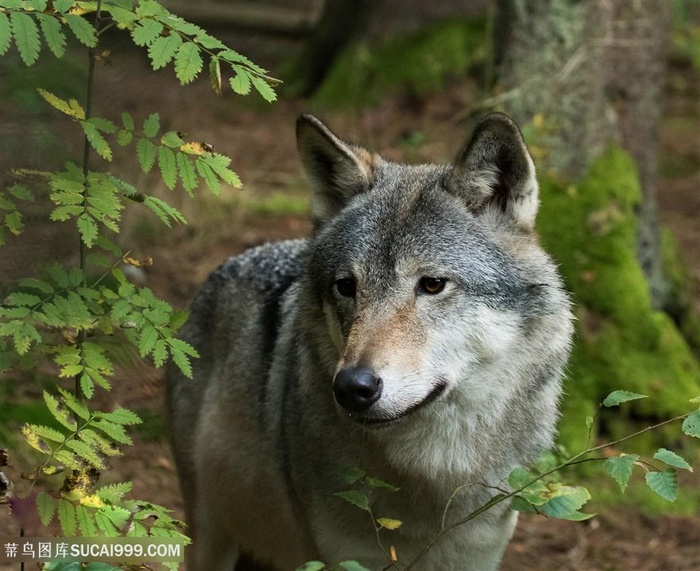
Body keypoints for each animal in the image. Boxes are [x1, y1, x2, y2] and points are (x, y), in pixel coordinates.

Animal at [165, 113, 576, 571]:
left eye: (432, 284)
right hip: (209, 534)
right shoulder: (341, 557)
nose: (351, 387)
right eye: (347, 286)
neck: (432, 482)